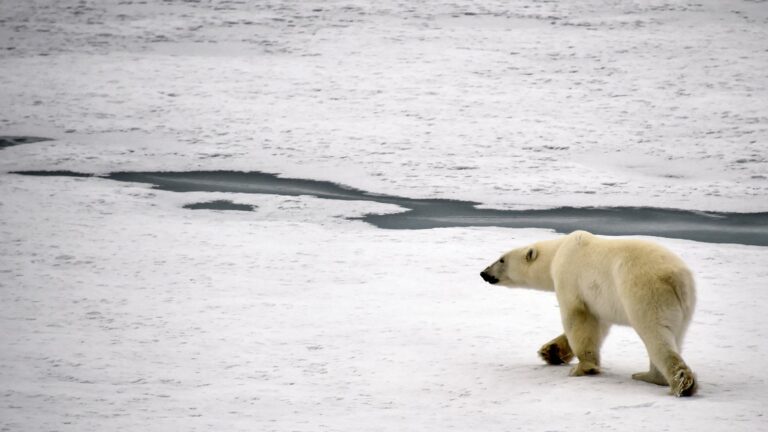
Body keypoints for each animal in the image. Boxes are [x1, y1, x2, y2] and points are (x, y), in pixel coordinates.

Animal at [480, 231, 696, 396]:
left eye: (501, 259)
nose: (483, 273)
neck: (557, 252)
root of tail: (675, 279)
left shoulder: (570, 277)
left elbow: (577, 319)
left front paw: (583, 367)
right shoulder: (603, 299)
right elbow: (599, 324)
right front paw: (551, 352)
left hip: (645, 293)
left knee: (656, 335)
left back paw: (671, 381)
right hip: (684, 307)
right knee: (674, 335)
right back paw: (650, 376)